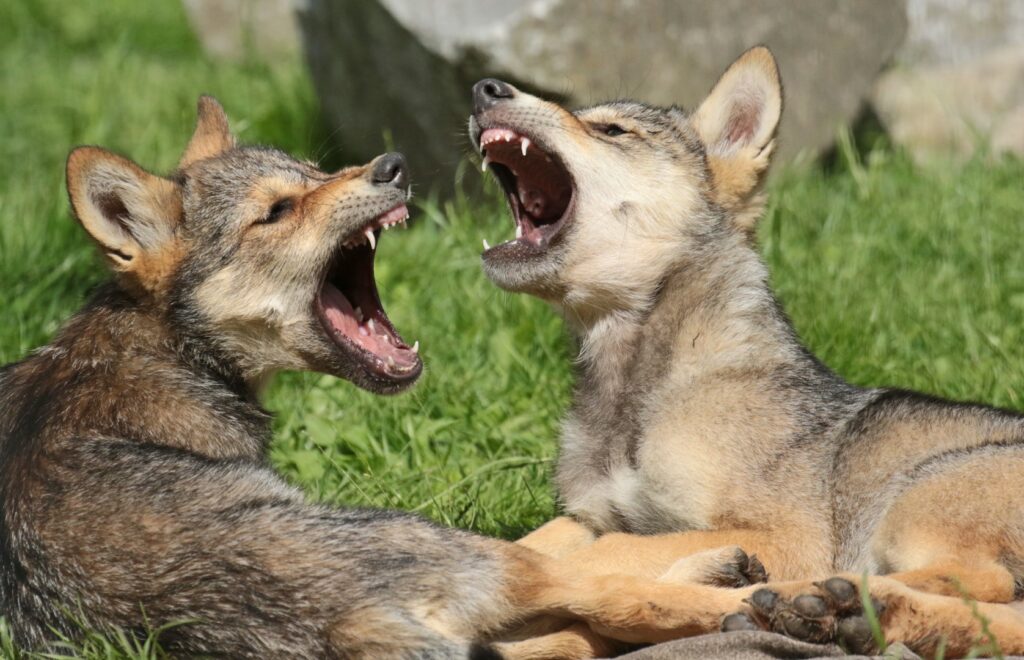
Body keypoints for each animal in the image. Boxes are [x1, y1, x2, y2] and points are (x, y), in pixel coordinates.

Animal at [469, 46, 1024, 656]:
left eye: (613, 130)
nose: (484, 89)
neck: (637, 390)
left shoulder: (784, 533)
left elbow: (598, 555)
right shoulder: (590, 516)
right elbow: (531, 544)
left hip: (923, 494)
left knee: (981, 581)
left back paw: (815, 600)